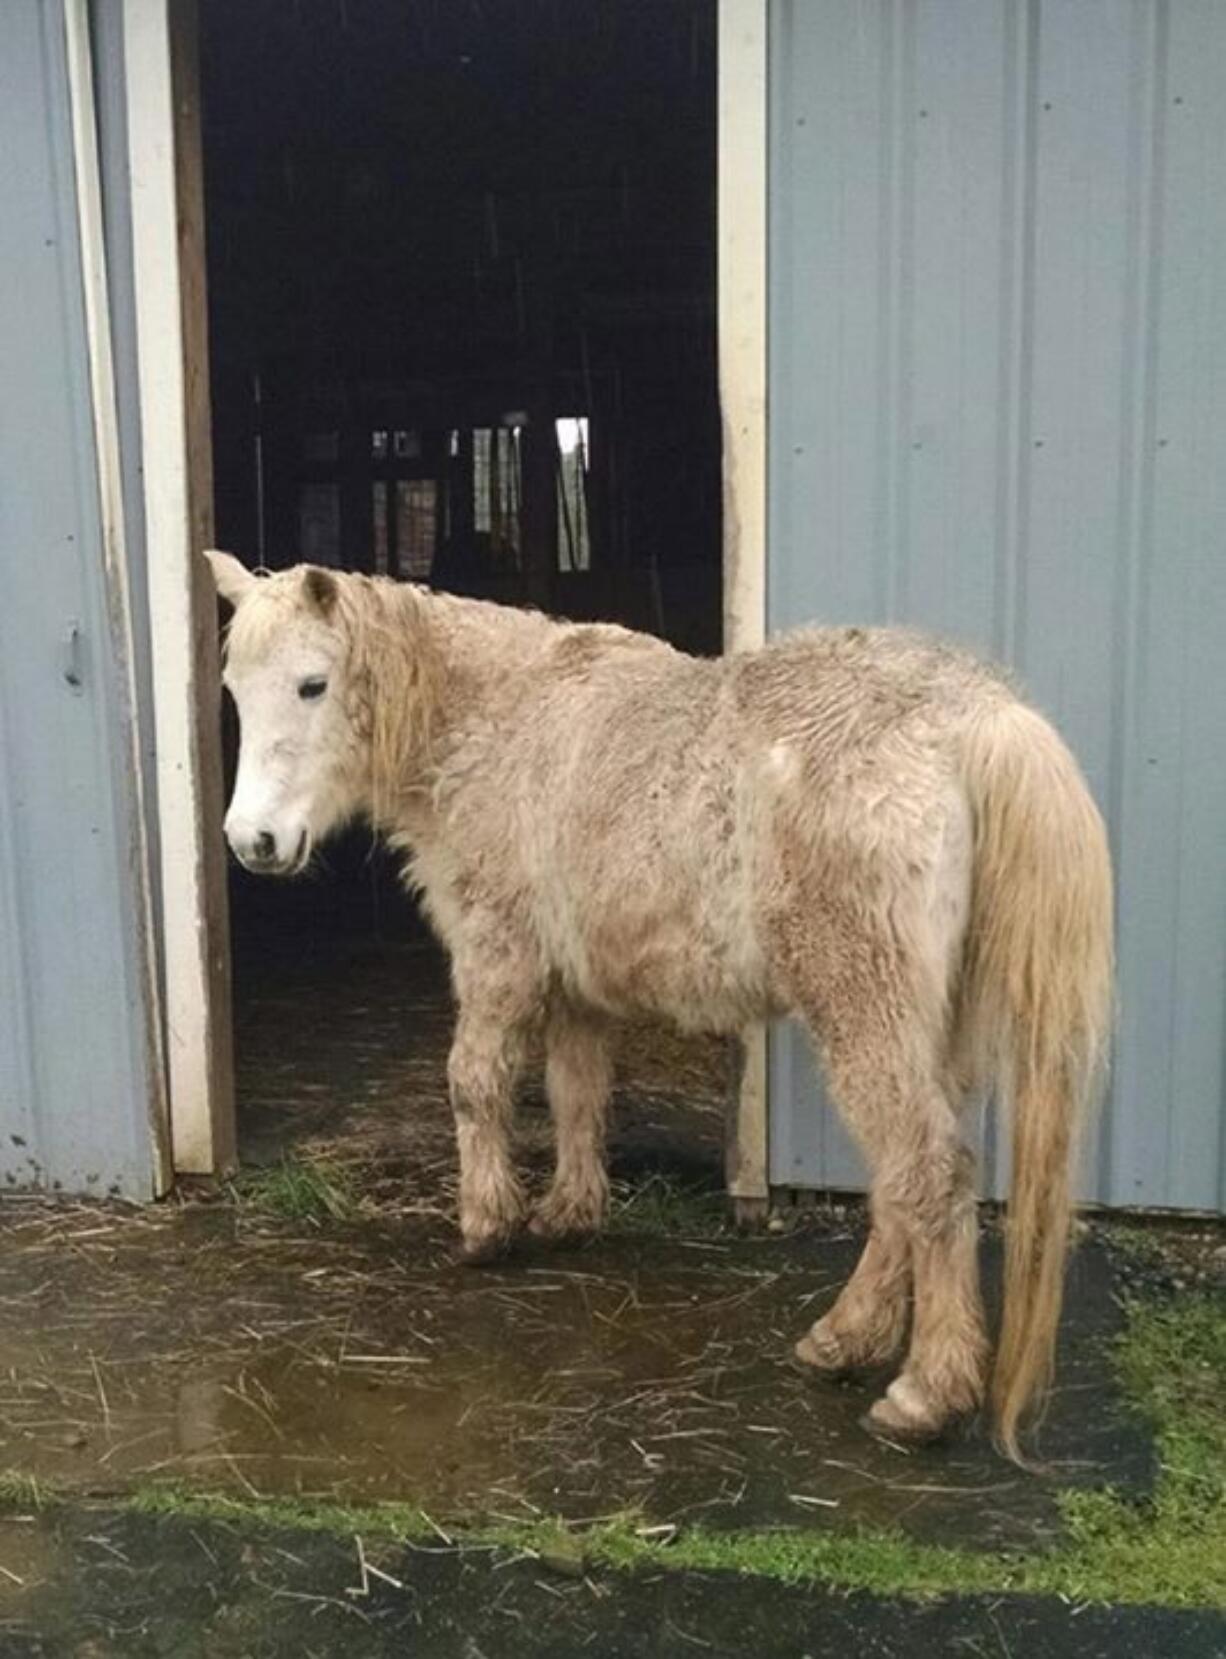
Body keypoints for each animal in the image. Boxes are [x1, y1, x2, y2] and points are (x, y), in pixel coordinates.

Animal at [208, 550, 1114, 1459]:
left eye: (313, 684)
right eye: (235, 688)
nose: (253, 842)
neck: (498, 716)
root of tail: (974, 718)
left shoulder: (499, 956)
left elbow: (476, 1082)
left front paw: (486, 1225)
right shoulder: (575, 985)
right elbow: (577, 1092)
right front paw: (568, 1214)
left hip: (865, 1009)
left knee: (928, 1171)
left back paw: (925, 1392)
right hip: (932, 1031)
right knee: (904, 1181)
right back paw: (844, 1338)